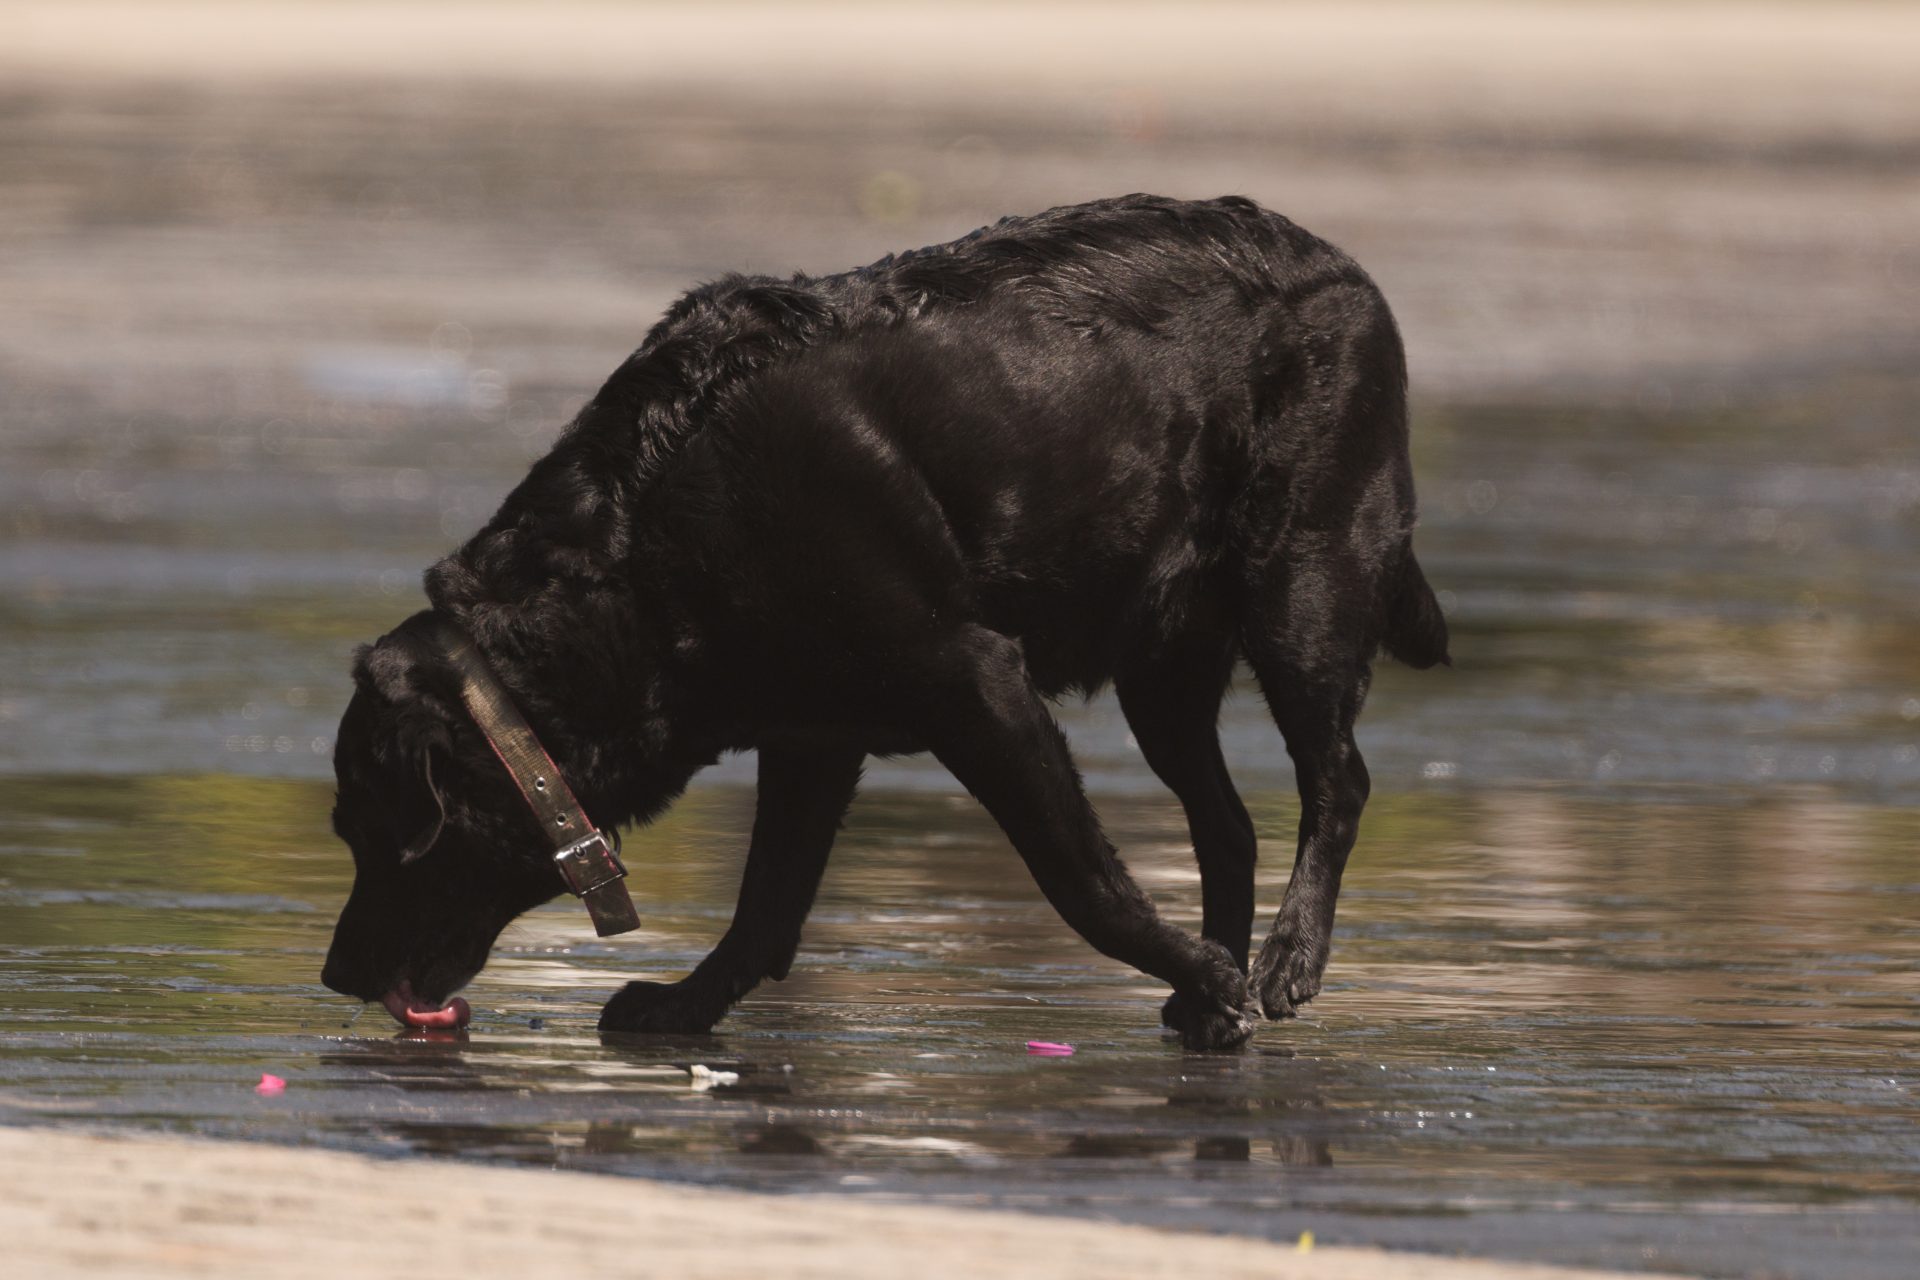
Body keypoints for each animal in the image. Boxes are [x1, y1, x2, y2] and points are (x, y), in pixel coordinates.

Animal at [322, 192, 1443, 1051]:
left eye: (363, 829)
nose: (333, 975)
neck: (642, 539)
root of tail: (1345, 265)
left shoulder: (979, 684)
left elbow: (1082, 881)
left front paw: (1213, 973)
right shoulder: (810, 731)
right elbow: (768, 903)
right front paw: (689, 1003)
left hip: (1302, 589)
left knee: (1338, 778)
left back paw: (1284, 959)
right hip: (1162, 667)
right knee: (1229, 821)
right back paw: (1212, 991)